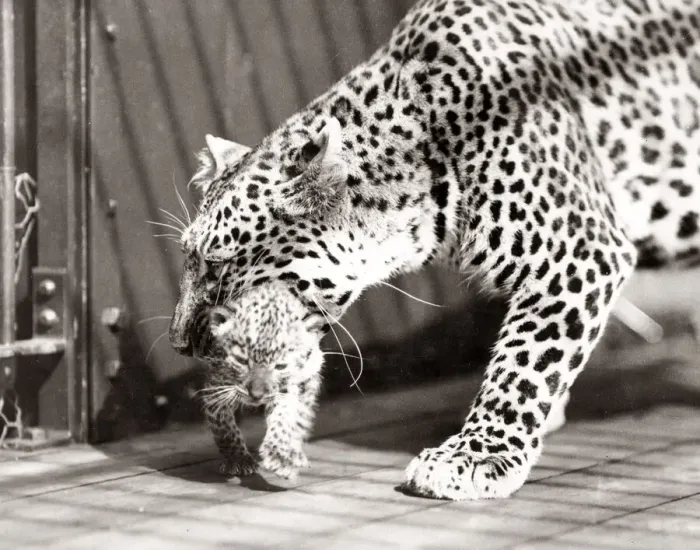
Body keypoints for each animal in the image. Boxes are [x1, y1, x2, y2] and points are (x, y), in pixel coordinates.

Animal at [191, 282, 324, 480]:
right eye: (241, 361)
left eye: (281, 366)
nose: (256, 394)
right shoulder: (216, 387)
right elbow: (224, 427)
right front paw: (238, 459)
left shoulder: (286, 389)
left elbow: (284, 418)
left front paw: (279, 457)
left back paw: (294, 451)